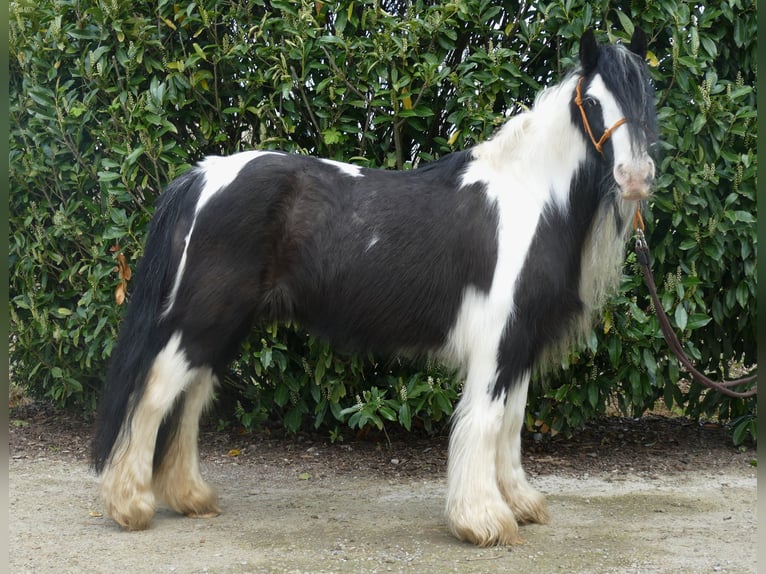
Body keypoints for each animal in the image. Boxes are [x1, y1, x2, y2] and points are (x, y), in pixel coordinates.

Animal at [93, 30, 660, 548]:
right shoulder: (497, 342)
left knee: (189, 400)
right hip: (203, 317)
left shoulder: (519, 342)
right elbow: (483, 423)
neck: (530, 200)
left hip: (222, 324)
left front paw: (518, 504)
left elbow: (511, 424)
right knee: (155, 394)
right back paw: (131, 505)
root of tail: (203, 175)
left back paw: (190, 497)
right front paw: (482, 520)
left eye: (648, 97)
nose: (635, 177)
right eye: (592, 102)